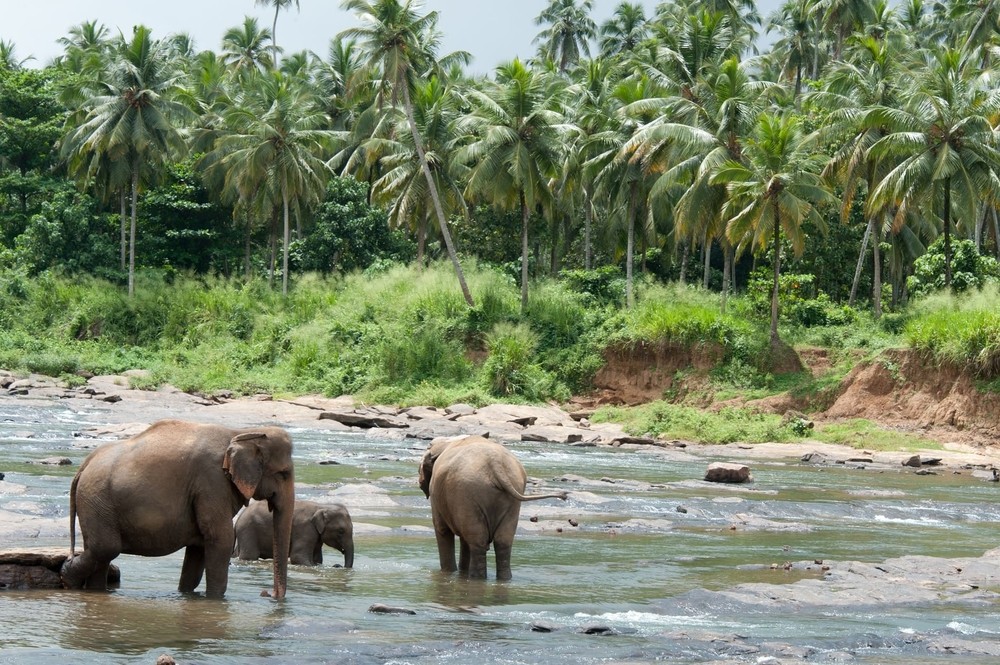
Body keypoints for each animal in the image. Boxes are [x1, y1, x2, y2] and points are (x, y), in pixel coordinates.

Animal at [62, 418, 294, 600]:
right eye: (283, 473)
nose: (266, 593)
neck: (240, 432)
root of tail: (83, 466)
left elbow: (199, 547)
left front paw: (187, 596)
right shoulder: (212, 482)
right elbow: (221, 539)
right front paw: (215, 601)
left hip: (95, 504)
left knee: (100, 553)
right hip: (97, 499)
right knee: (107, 548)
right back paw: (67, 579)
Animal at [418, 434, 568, 580]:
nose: (565, 495)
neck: (447, 442)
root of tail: (495, 463)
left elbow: (442, 529)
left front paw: (449, 572)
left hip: (467, 491)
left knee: (477, 541)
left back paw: (476, 579)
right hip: (512, 495)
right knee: (503, 541)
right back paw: (503, 579)